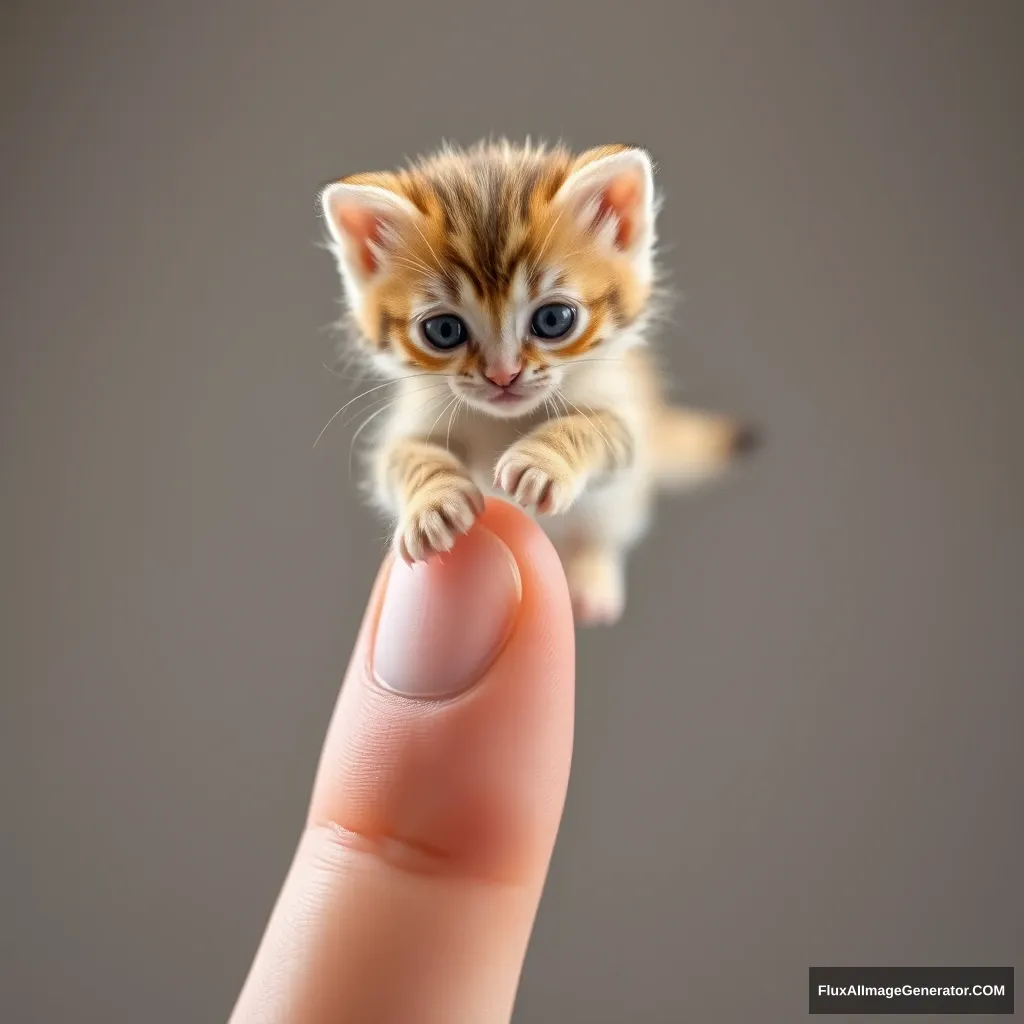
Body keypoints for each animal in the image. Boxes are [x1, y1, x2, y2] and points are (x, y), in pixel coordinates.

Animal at [319, 140, 761, 622]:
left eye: (553, 320)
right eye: (444, 330)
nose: (502, 374)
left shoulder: (629, 422)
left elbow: (594, 427)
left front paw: (542, 462)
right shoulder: (409, 421)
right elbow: (404, 457)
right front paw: (434, 501)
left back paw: (591, 572)